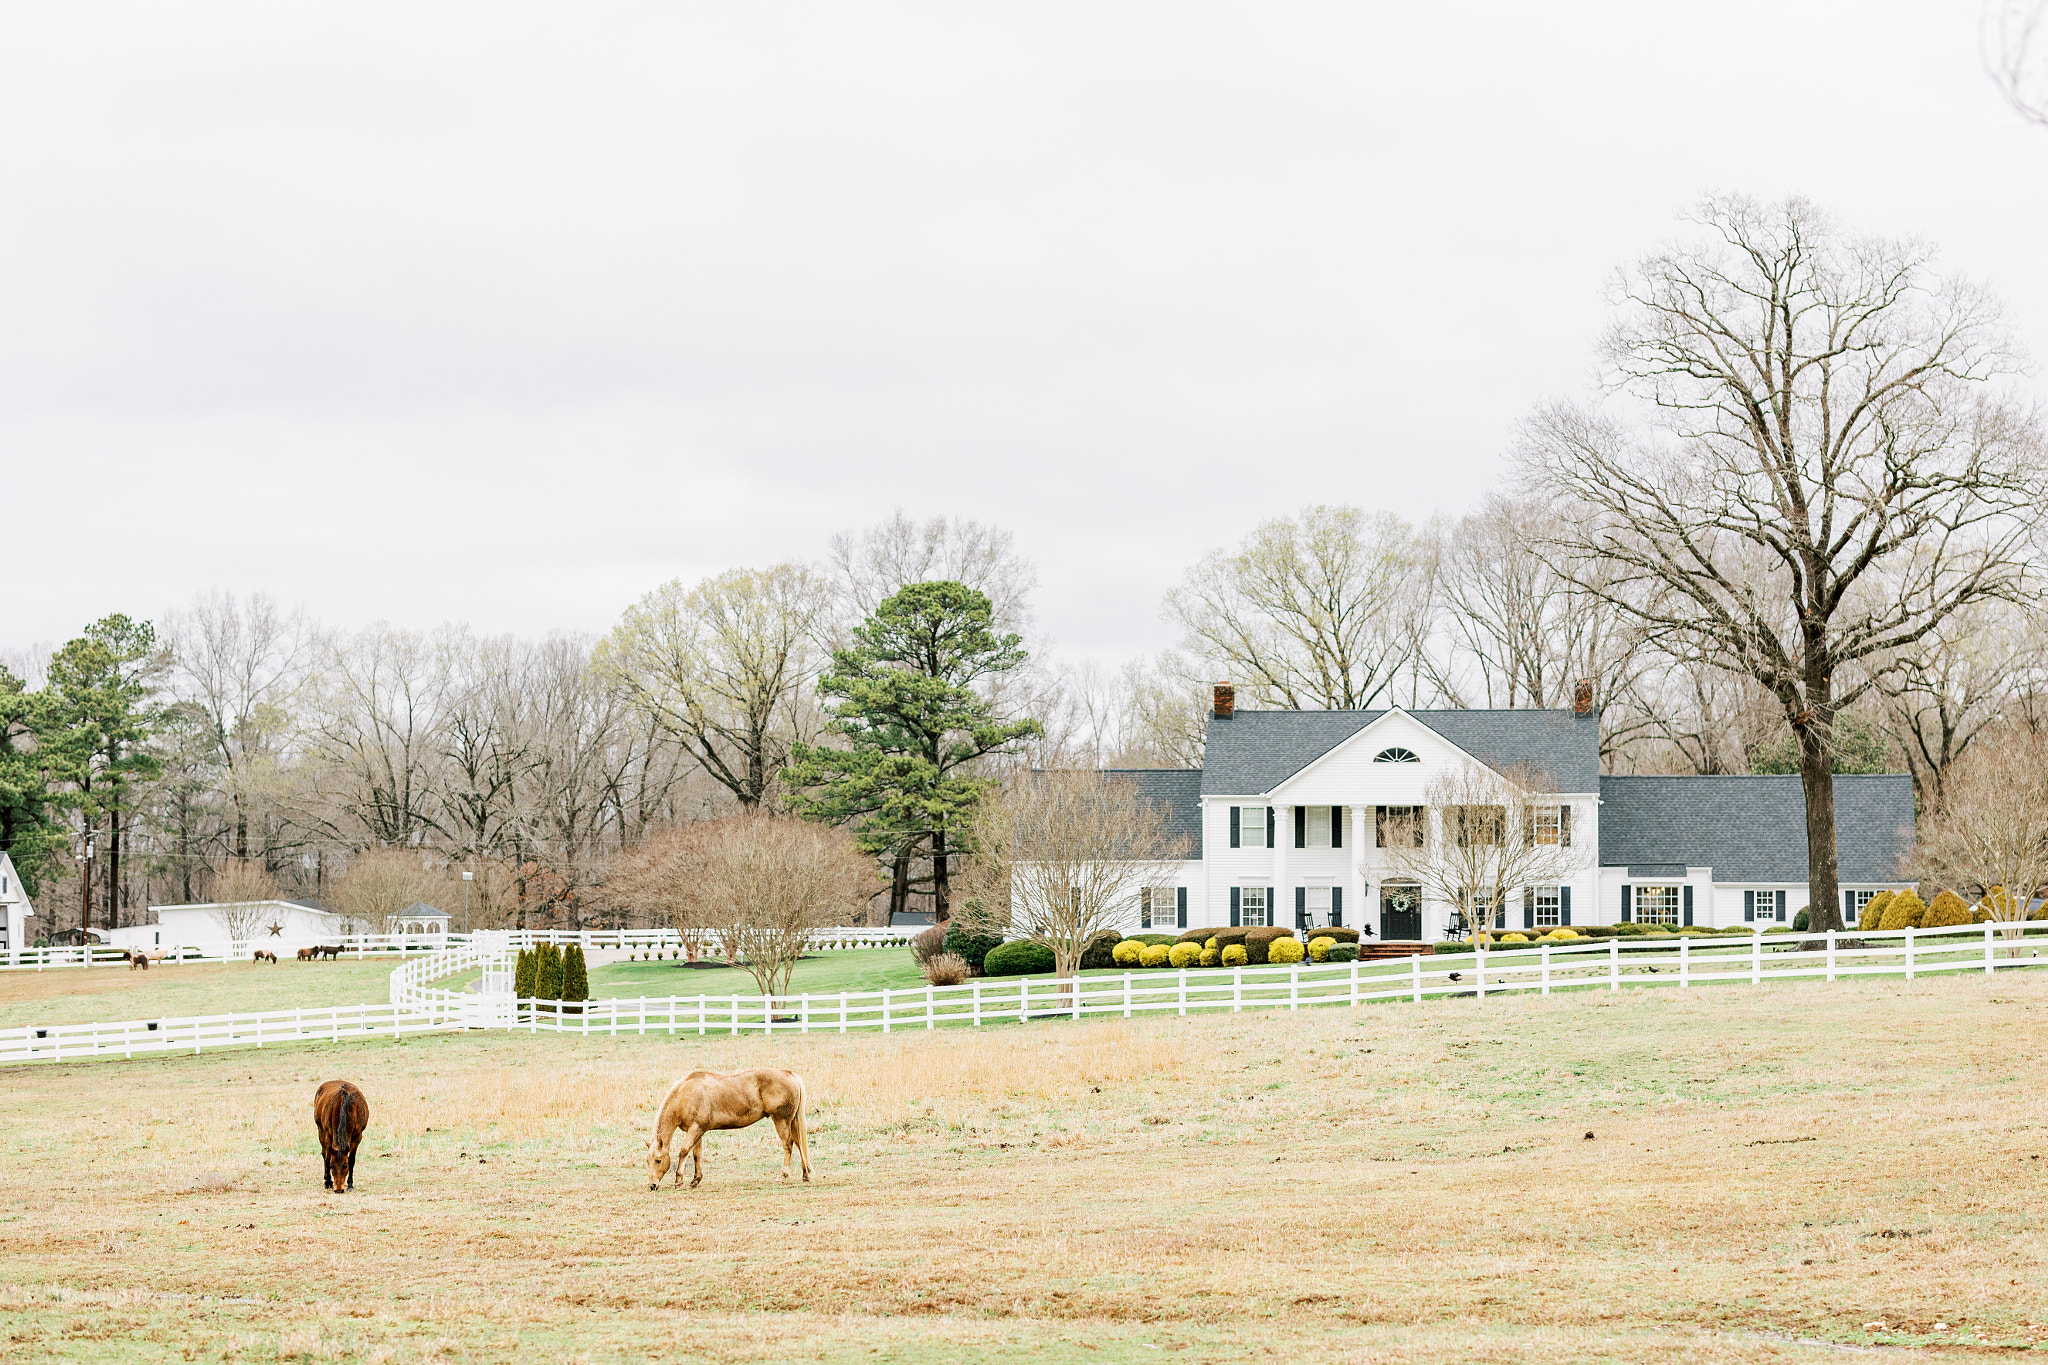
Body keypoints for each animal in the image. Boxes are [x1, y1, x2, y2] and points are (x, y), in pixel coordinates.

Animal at [651, 1072, 819, 1186]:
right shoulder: (696, 1131)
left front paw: (679, 1180)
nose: (652, 1185)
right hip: (791, 1122)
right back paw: (805, 1174)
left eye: (658, 1160)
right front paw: (695, 1180)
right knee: (799, 1144)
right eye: (648, 1161)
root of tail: (789, 1074)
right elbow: (696, 1155)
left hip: (781, 1121)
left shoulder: (696, 1129)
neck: (687, 1093)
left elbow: (683, 1152)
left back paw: (783, 1175)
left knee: (788, 1144)